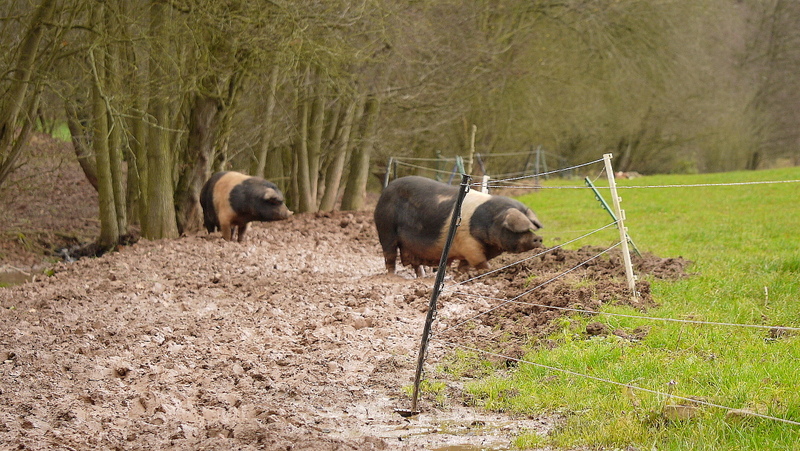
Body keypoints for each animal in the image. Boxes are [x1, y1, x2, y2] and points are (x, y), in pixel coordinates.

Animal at [374, 175, 543, 277]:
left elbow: (465, 265)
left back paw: (422, 277)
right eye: (515, 229)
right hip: (385, 228)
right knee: (390, 255)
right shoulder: (469, 244)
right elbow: (480, 262)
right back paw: (392, 276)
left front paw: (460, 275)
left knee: (414, 262)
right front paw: (486, 272)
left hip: (409, 245)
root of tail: (385, 191)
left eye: (530, 227)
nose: (539, 238)